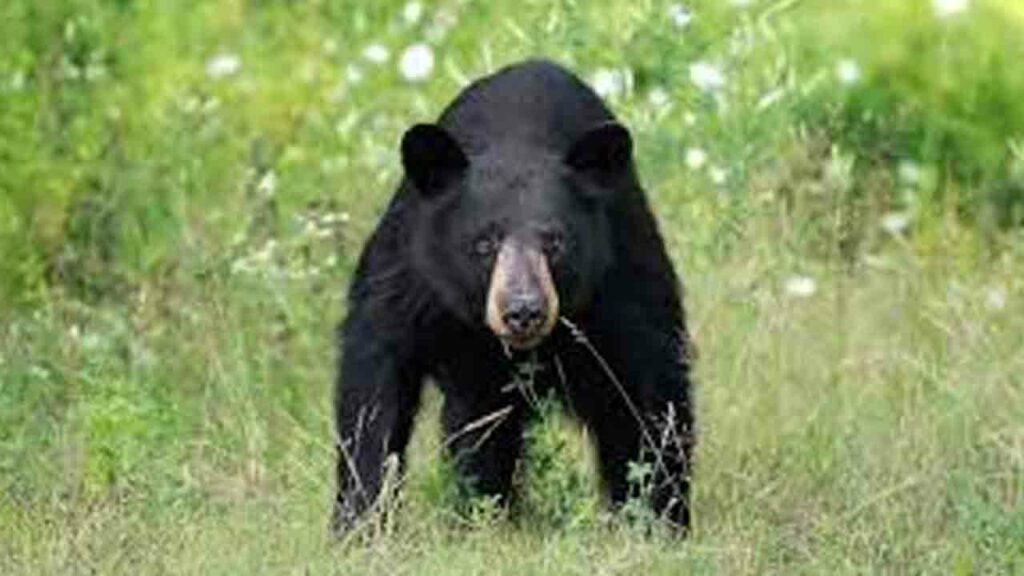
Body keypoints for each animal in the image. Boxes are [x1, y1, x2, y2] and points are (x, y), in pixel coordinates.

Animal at [332, 59, 695, 533]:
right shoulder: (413, 276)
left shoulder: (620, 276)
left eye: (555, 242)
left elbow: (650, 391)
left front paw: (658, 521)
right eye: (484, 243)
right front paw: (360, 522)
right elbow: (376, 383)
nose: (523, 311)